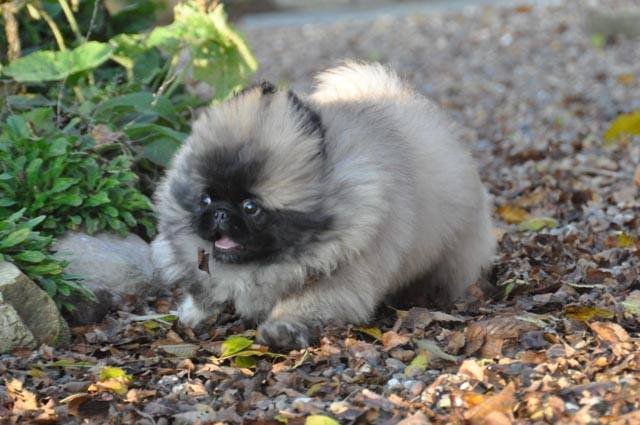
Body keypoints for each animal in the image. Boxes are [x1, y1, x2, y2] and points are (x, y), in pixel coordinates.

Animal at [152, 61, 498, 350]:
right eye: (206, 198)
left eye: (251, 207)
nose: (221, 212)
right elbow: (205, 293)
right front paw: (194, 314)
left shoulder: (341, 278)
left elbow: (301, 305)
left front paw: (280, 331)